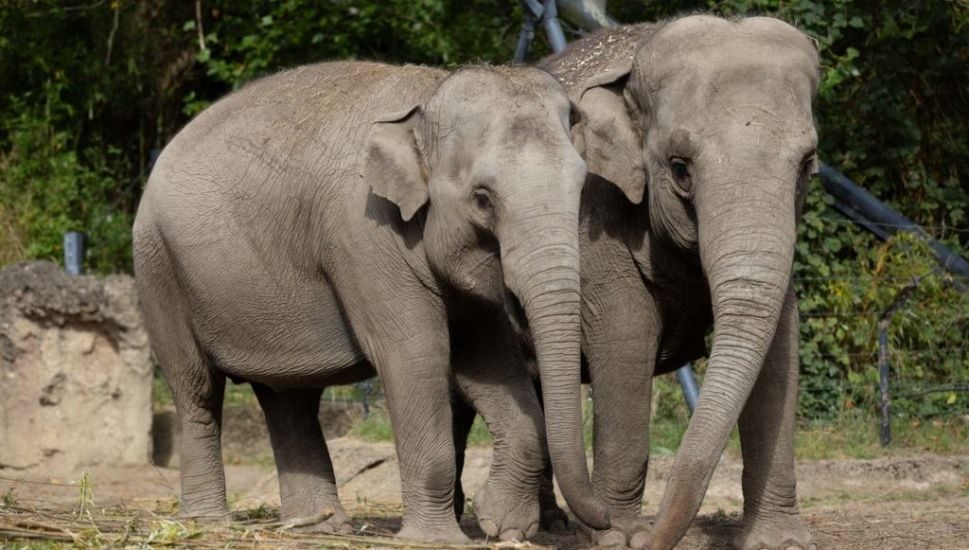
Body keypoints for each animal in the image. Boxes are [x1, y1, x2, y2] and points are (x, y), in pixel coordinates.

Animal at [132, 59, 608, 544]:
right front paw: (435, 540)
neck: (427, 98)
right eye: (482, 198)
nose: (603, 519)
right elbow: (416, 356)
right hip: (159, 269)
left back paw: (320, 525)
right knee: (198, 391)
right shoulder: (366, 236)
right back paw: (207, 522)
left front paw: (504, 525)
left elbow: (489, 363)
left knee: (288, 397)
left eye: (581, 186)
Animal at [452, 14, 816, 550]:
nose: (653, 536)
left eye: (808, 164)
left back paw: (552, 522)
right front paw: (620, 537)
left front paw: (780, 541)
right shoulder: (593, 220)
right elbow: (625, 338)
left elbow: (780, 350)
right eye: (681, 169)